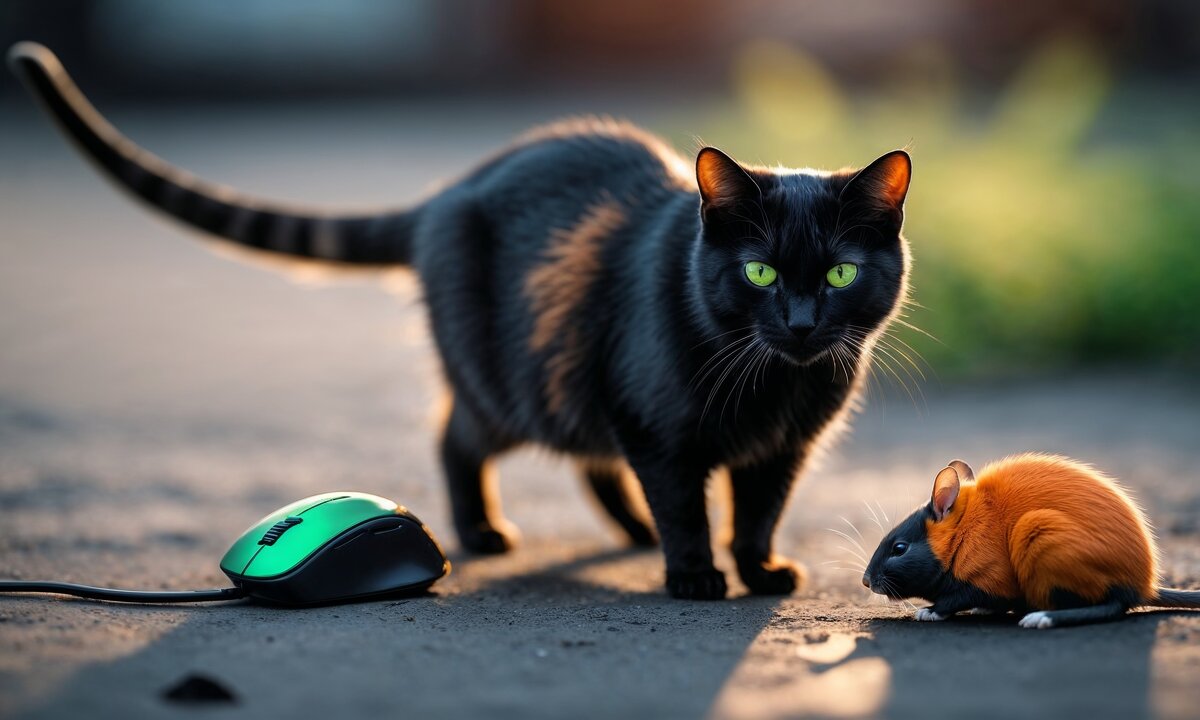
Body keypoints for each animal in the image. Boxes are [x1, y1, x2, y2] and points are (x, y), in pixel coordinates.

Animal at [9, 42, 912, 600]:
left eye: (839, 272)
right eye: (759, 272)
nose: (802, 323)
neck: (773, 386)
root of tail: (445, 195)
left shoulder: (783, 451)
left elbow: (757, 513)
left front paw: (759, 572)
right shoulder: (658, 426)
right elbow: (687, 505)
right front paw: (693, 575)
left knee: (589, 456)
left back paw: (626, 528)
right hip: (505, 387)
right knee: (457, 438)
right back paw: (485, 533)